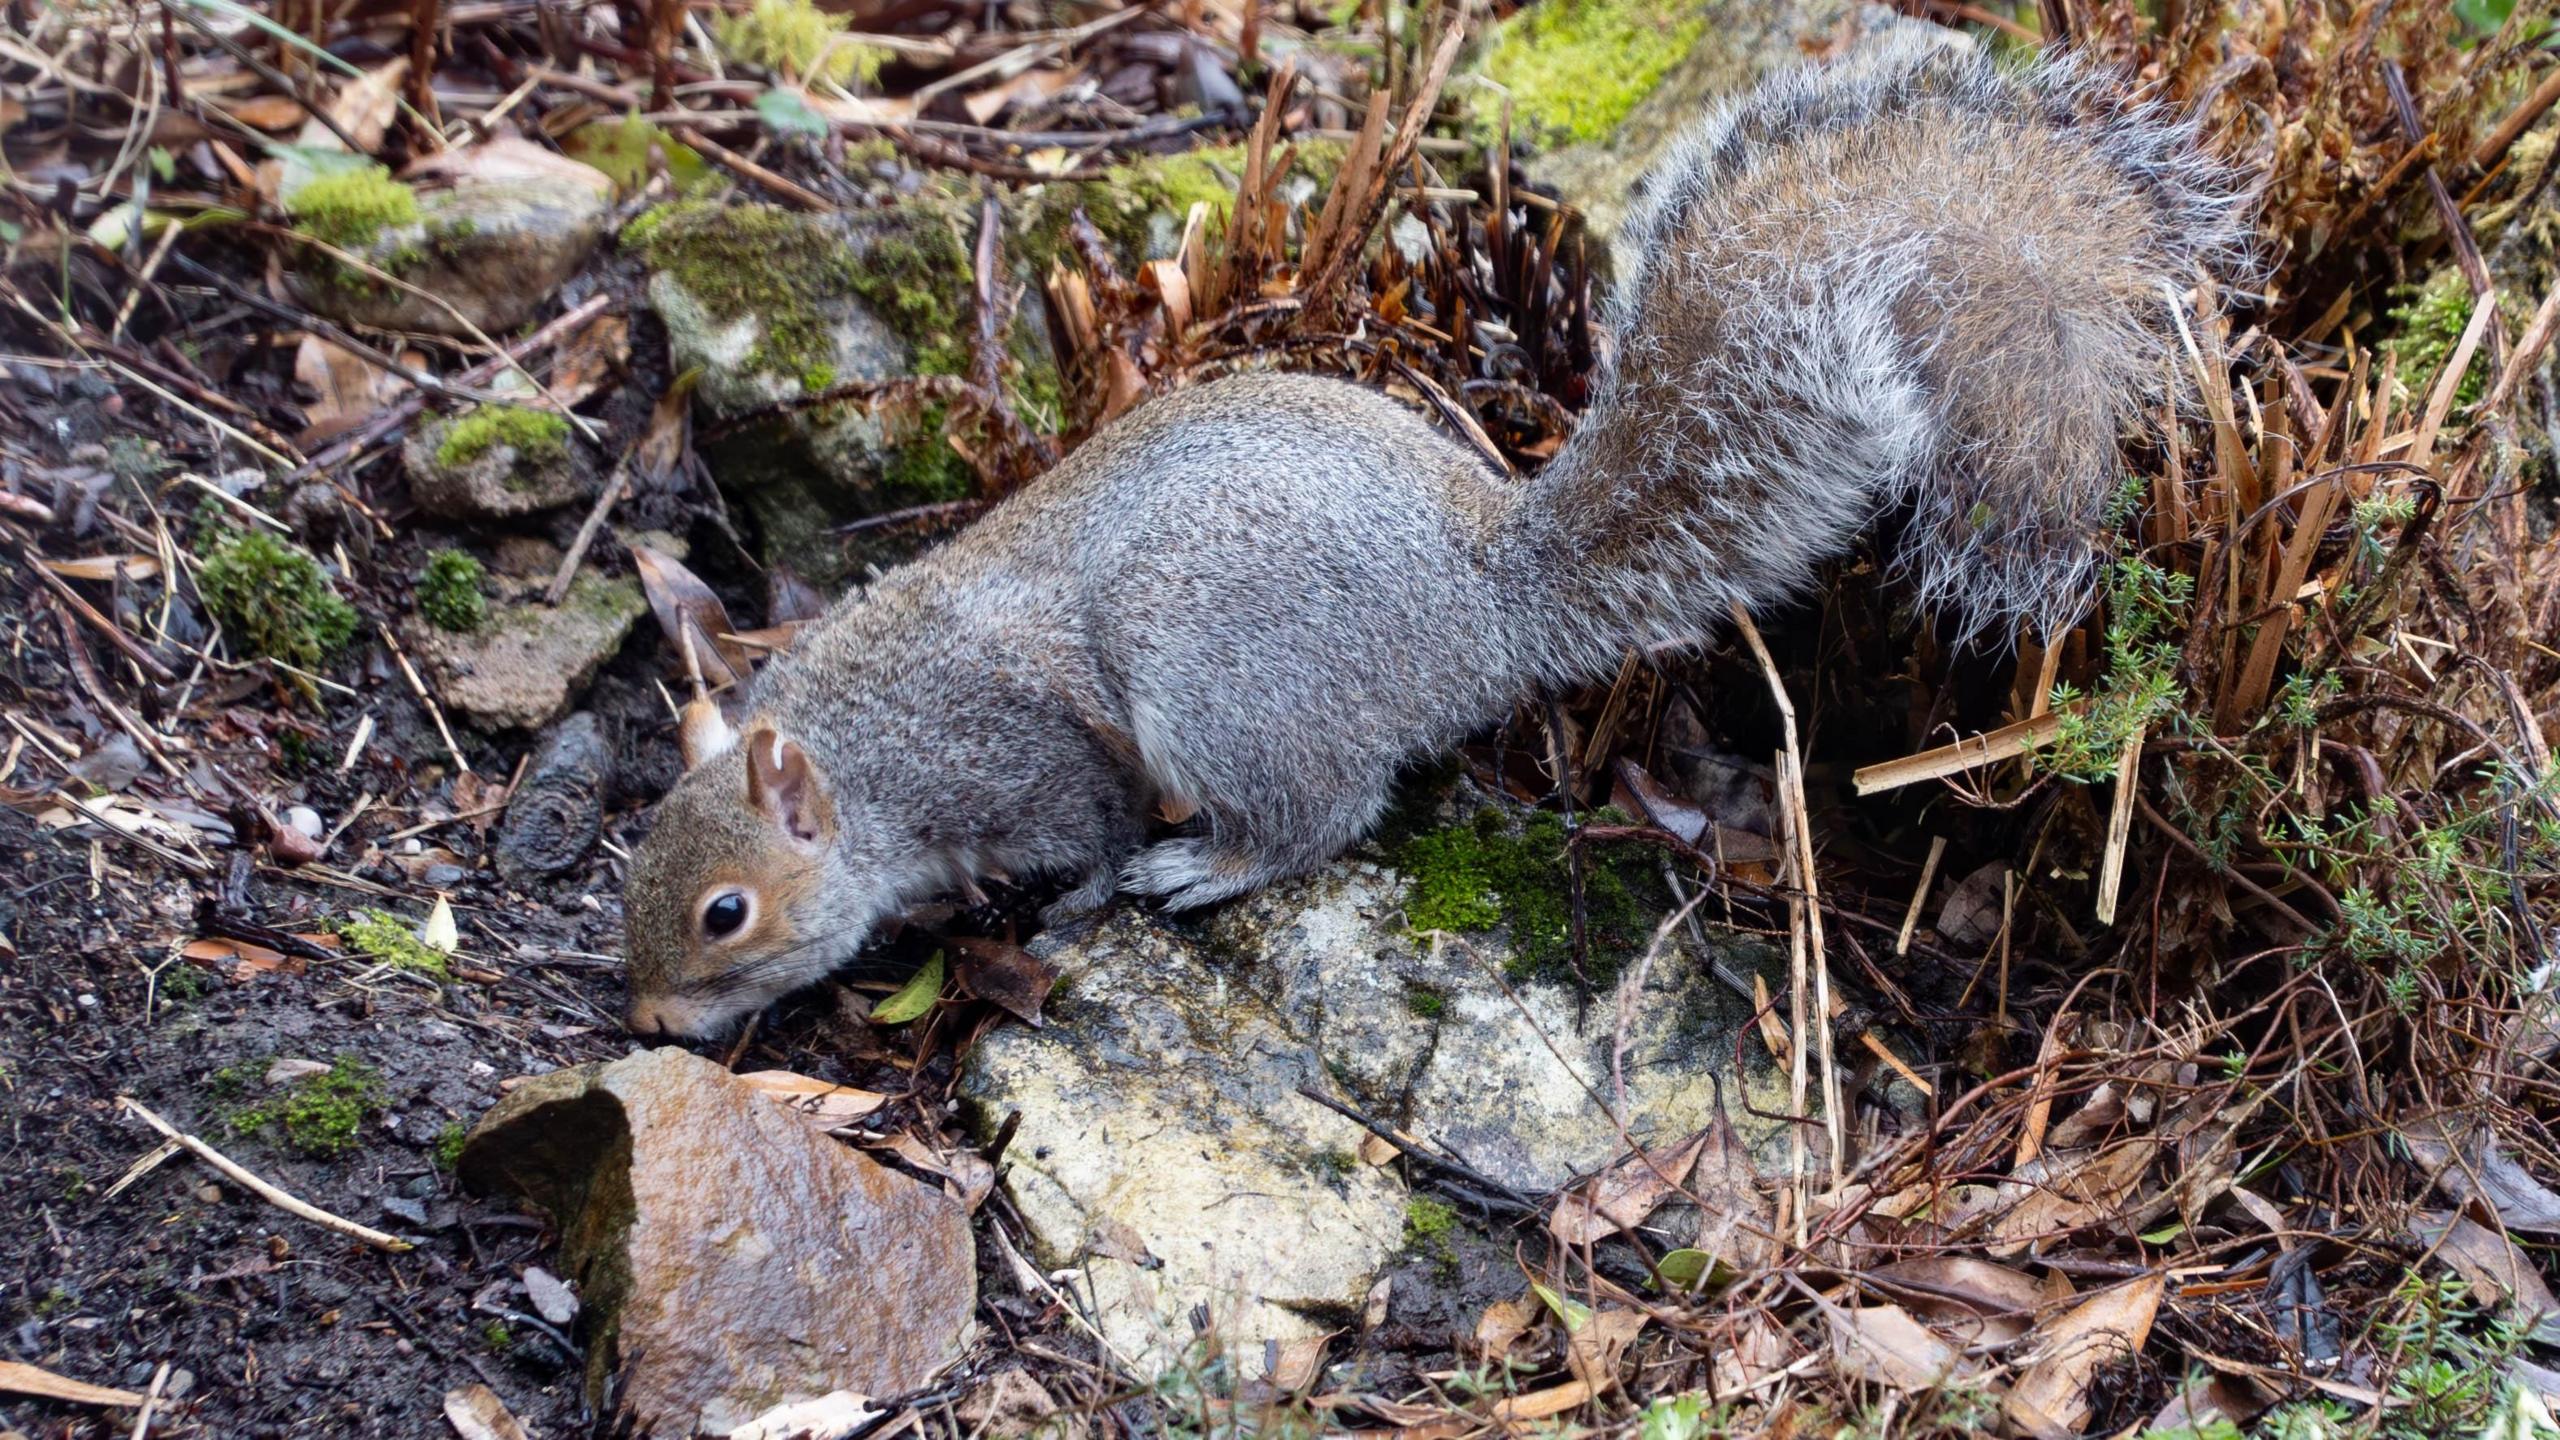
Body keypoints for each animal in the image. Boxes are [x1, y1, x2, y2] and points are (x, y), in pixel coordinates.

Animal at [629, 22, 2252, 1030]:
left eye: (723, 914)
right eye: (637, 868)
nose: (644, 1019)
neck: (860, 756)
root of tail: (1479, 600)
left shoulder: (1017, 759)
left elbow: (1086, 833)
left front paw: (1079, 898)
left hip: (1221, 680)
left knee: (1328, 811)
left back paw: (1208, 865)